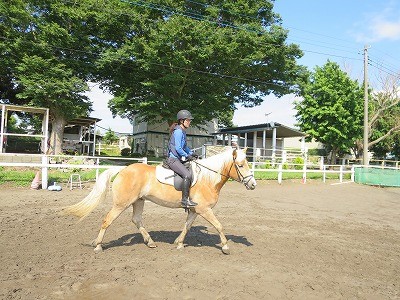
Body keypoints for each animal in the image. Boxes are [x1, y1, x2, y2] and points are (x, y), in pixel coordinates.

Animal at [62, 146, 256, 254]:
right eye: (240, 165)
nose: (253, 184)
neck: (207, 178)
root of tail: (123, 170)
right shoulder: (204, 209)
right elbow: (219, 226)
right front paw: (225, 247)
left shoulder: (195, 210)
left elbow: (187, 226)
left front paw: (179, 243)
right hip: (121, 204)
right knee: (107, 220)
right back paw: (98, 246)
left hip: (138, 201)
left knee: (136, 220)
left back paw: (150, 242)